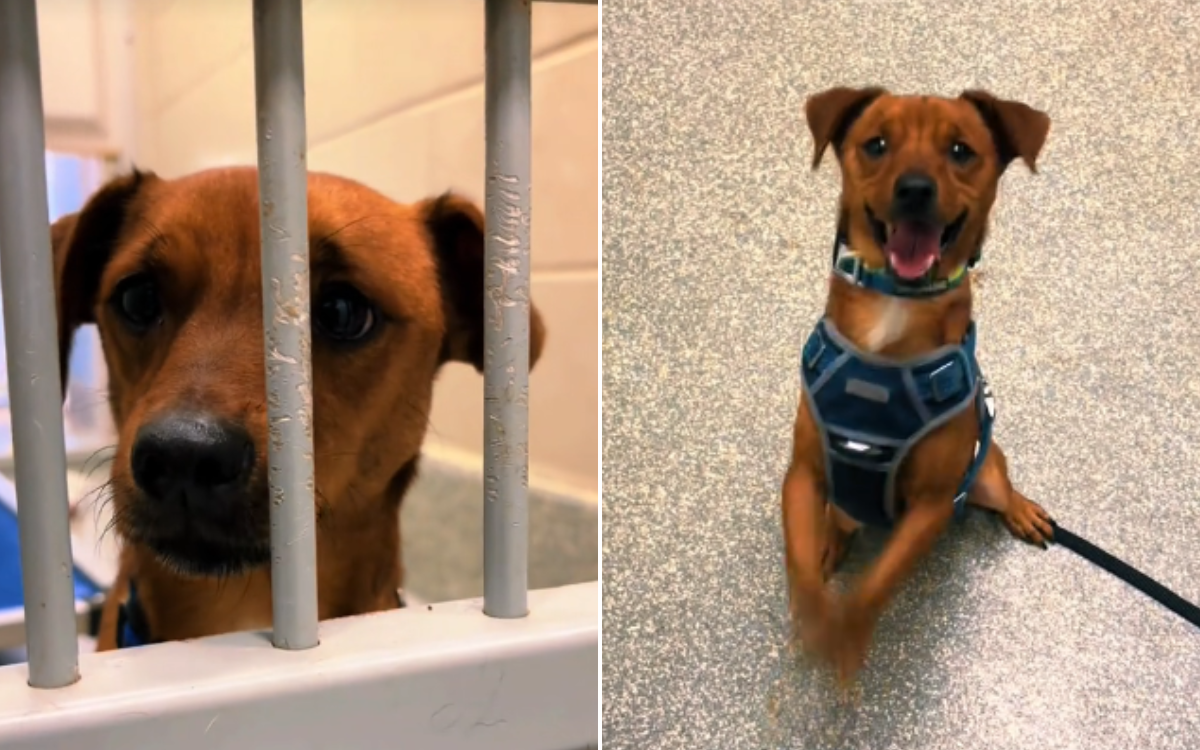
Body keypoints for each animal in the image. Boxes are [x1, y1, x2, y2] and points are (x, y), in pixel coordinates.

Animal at [777, 86, 1051, 676]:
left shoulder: (931, 506)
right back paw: (834, 538)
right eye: (876, 144)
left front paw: (843, 639)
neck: (894, 313)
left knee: (1003, 486)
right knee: (842, 518)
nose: (916, 189)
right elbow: (799, 564)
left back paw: (1022, 511)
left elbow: (876, 586)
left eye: (961, 150)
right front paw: (812, 617)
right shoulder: (803, 474)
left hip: (985, 473)